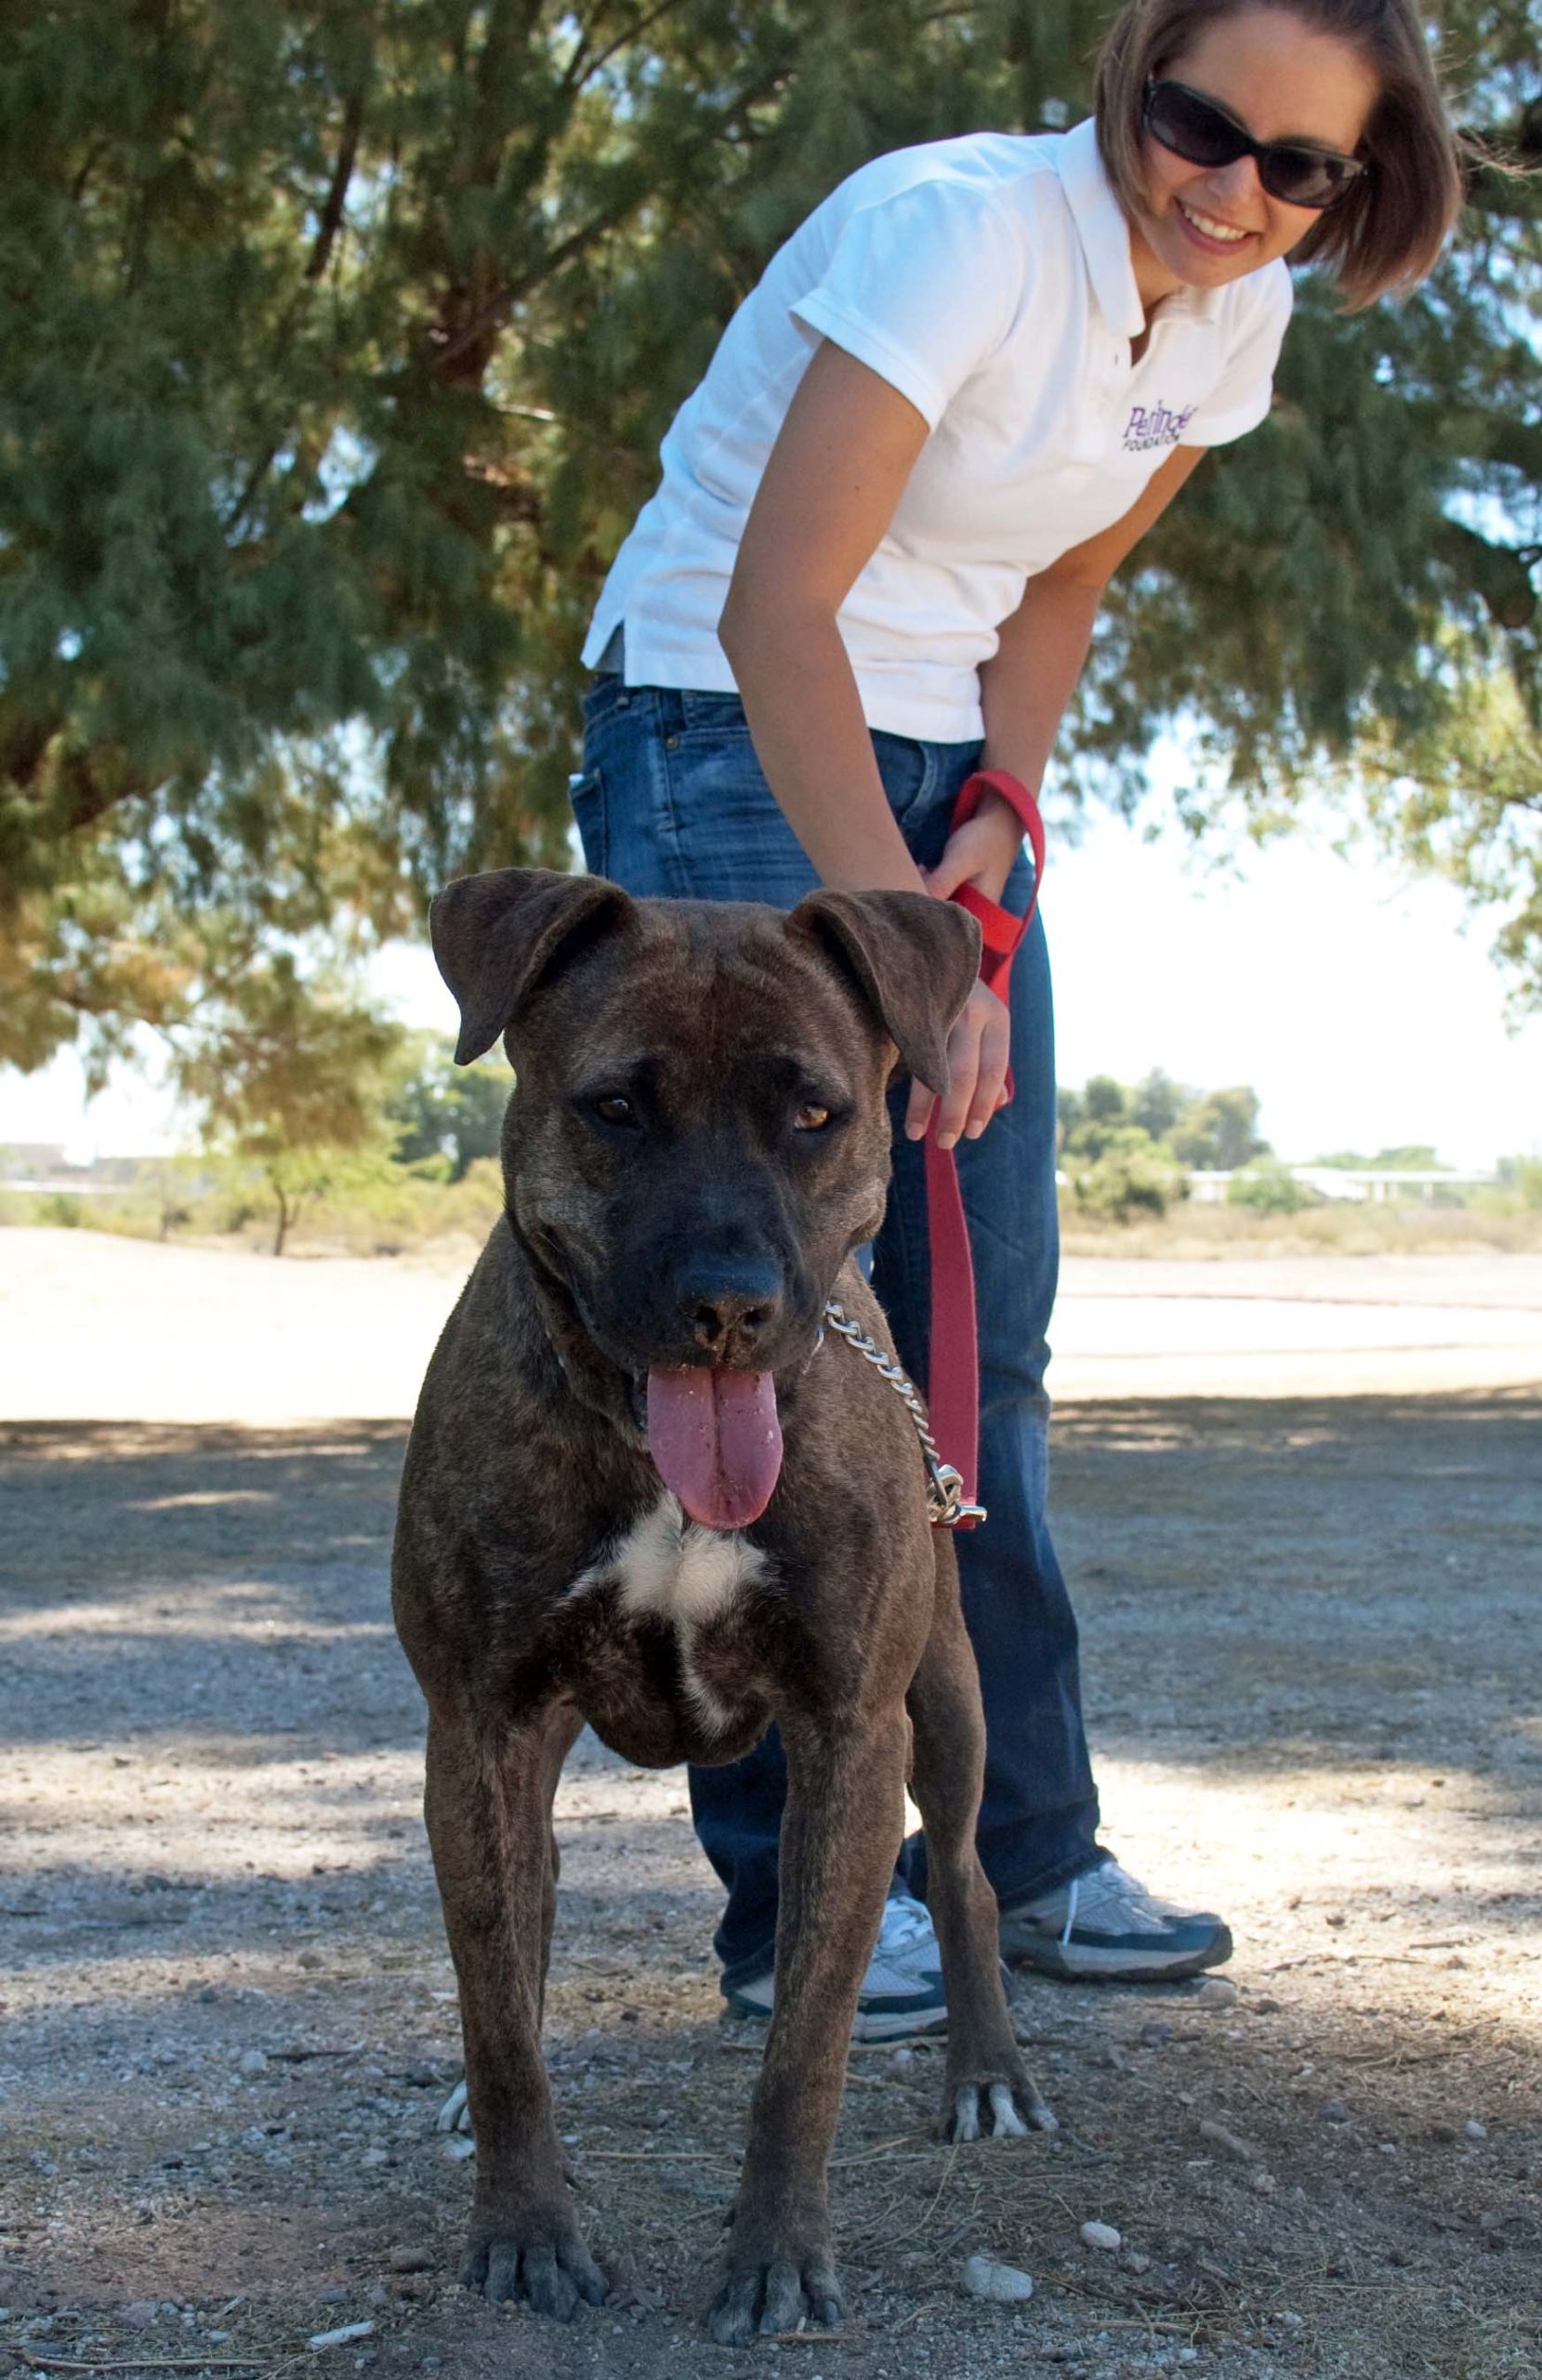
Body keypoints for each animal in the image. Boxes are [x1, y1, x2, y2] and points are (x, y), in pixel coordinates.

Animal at [392, 870, 1051, 2342]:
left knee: (967, 1874)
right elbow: (497, 2013)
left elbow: (804, 2045)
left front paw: (776, 2257)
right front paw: (526, 2228)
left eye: (814, 1112)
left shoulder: (851, 1734)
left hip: (948, 1700)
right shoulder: (478, 1729)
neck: (654, 1459)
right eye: (614, 1107)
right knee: (520, 1926)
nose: (729, 1304)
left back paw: (986, 2071)